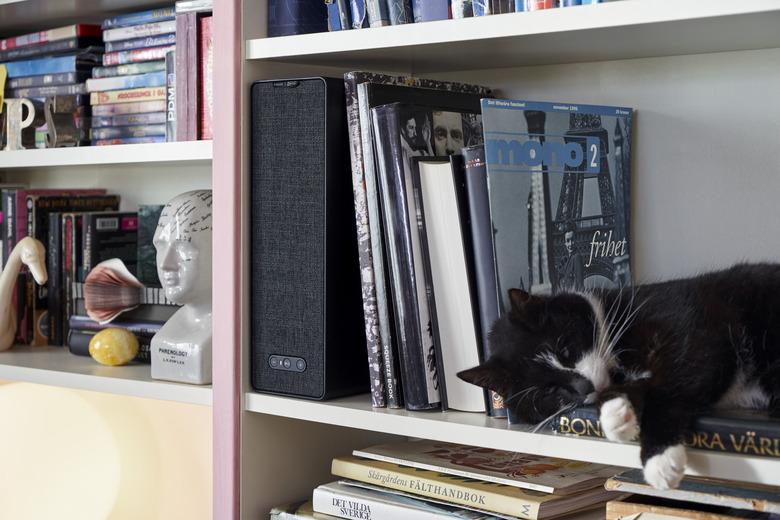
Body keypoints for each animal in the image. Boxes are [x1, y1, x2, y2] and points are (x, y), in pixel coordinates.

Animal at [458, 266, 780, 490]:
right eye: (547, 391)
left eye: (565, 348)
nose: (584, 386)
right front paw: (617, 413)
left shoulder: (695, 331)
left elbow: (677, 379)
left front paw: (659, 458)